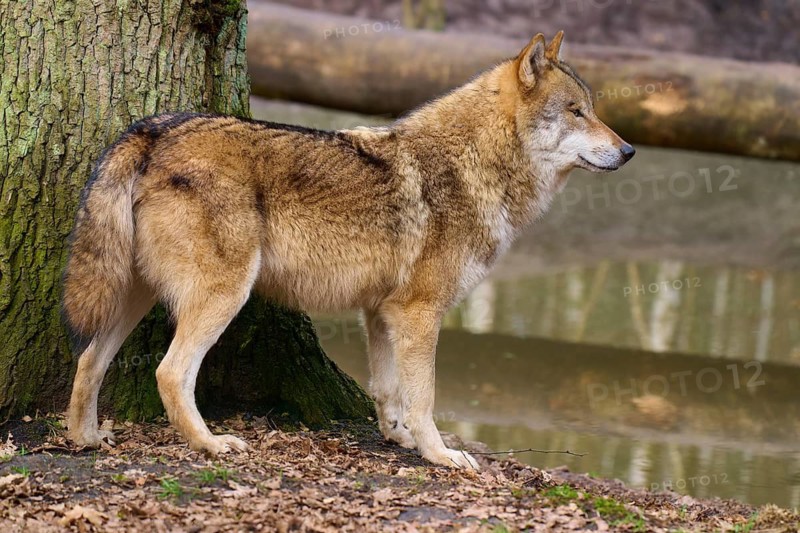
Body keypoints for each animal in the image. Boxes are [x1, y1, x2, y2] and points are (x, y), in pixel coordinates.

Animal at [63, 31, 634, 469]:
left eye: (592, 111)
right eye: (577, 112)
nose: (628, 151)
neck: (474, 165)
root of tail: (152, 130)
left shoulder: (382, 312)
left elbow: (388, 390)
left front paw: (397, 438)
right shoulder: (420, 313)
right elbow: (424, 397)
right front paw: (440, 455)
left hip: (131, 296)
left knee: (89, 359)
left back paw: (85, 438)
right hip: (224, 296)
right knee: (170, 372)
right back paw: (210, 445)